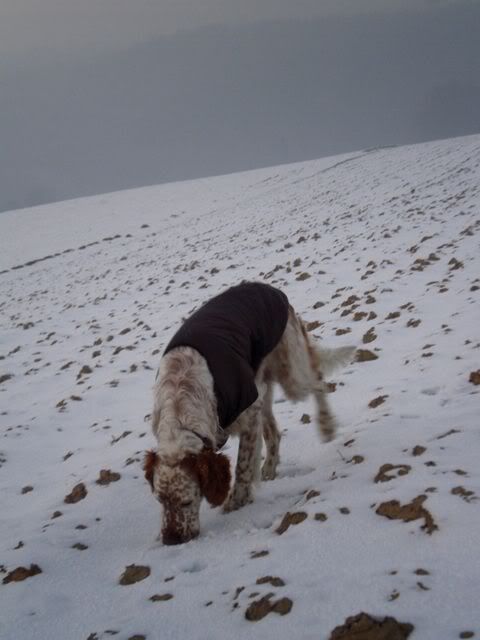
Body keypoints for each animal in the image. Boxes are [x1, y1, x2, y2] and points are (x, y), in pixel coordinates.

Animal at [144, 282, 355, 545]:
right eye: (160, 500)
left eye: (187, 501)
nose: (171, 540)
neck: (181, 399)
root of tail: (272, 289)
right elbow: (252, 455)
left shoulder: (248, 409)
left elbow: (243, 465)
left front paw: (236, 501)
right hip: (264, 386)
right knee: (274, 432)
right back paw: (269, 469)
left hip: (292, 375)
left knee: (317, 381)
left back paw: (327, 426)